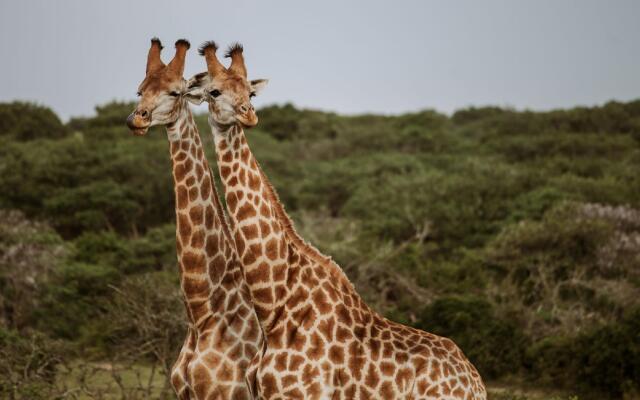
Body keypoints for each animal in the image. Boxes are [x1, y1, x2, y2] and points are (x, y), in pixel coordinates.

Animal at [188, 41, 488, 400]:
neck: (274, 304)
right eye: (214, 91)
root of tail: (476, 381)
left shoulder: (302, 394)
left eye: (250, 92)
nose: (249, 114)